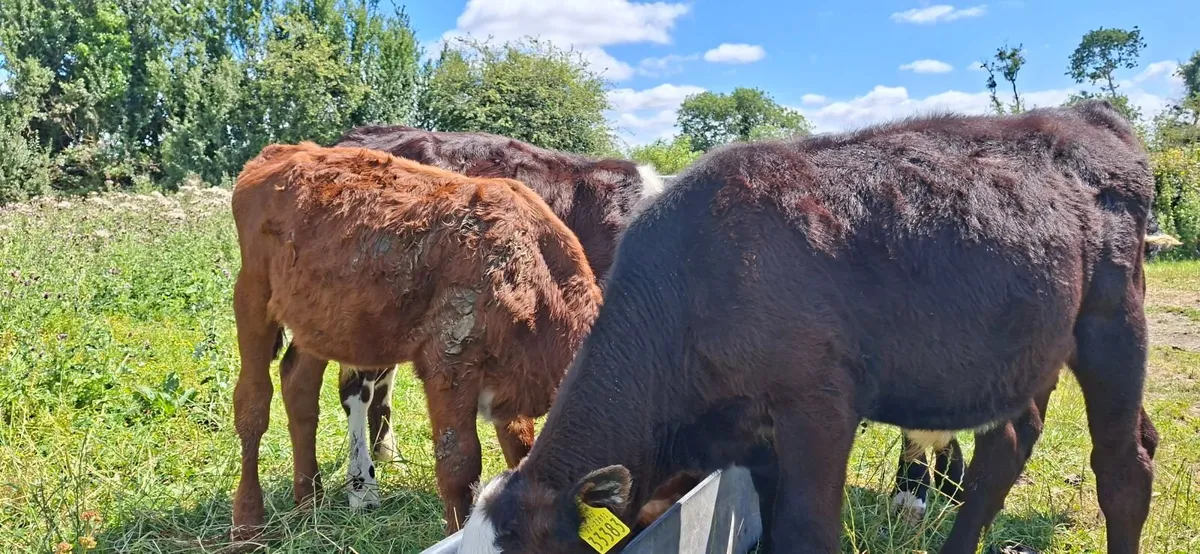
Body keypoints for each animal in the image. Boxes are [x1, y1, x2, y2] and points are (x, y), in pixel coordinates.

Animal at [227, 142, 602, 540]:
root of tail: (284, 150)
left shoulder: (511, 384)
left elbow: (521, 449)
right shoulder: (450, 363)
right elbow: (459, 466)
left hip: (319, 321)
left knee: (299, 387)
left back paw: (309, 500)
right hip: (252, 293)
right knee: (252, 402)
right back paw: (248, 523)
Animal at [455, 99, 1160, 554]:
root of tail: (1086, 116)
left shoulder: (817, 406)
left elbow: (806, 533)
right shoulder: (751, 437)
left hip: (1113, 325)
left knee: (1124, 465)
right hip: (1022, 352)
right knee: (1008, 446)